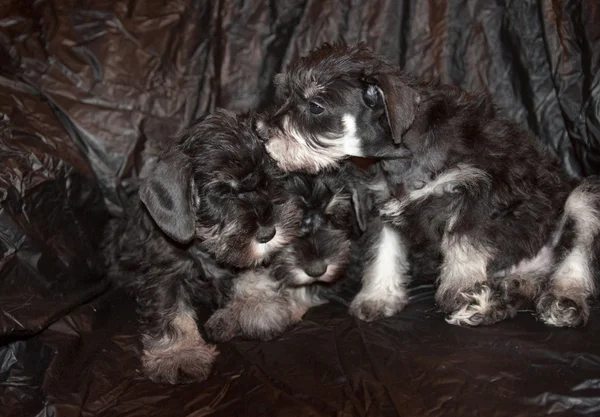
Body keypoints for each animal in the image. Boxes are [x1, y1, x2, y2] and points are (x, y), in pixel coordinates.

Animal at [103, 108, 302, 384]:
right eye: (221, 192)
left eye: (270, 180)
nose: (268, 232)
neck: (202, 242)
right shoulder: (165, 274)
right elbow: (172, 313)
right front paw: (179, 354)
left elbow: (251, 273)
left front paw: (259, 306)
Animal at [204, 162, 368, 342]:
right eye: (292, 219)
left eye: (333, 215)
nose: (317, 271)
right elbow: (248, 278)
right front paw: (228, 315)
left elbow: (301, 290)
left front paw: (263, 314)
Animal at [258, 43, 600, 328]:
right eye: (285, 96)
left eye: (315, 106)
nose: (262, 134)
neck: (404, 153)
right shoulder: (382, 207)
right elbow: (383, 253)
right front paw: (377, 297)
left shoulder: (480, 193)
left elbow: (462, 243)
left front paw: (462, 294)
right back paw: (500, 295)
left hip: (583, 198)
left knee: (574, 262)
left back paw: (560, 302)